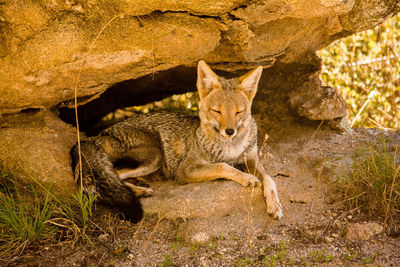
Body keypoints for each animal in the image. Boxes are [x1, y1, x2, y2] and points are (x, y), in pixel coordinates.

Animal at [70, 61, 282, 224]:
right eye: (217, 111)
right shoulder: (185, 170)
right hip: (154, 156)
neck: (231, 148)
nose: (229, 131)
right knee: (112, 178)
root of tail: (92, 137)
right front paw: (246, 178)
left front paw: (275, 204)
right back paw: (140, 191)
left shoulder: (251, 158)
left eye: (239, 112)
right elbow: (222, 166)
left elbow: (269, 178)